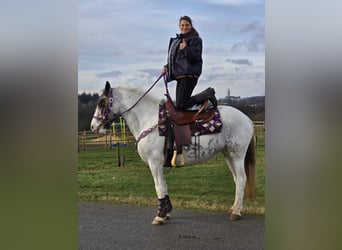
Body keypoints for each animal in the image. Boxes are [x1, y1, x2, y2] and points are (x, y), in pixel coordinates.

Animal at [91, 77, 256, 225]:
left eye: (101, 102)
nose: (93, 126)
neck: (149, 120)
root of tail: (246, 119)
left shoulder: (154, 162)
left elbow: (159, 187)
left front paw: (159, 216)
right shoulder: (158, 164)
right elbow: (164, 186)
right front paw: (166, 212)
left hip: (237, 155)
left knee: (242, 179)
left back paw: (236, 212)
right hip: (228, 155)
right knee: (236, 179)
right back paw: (234, 207)